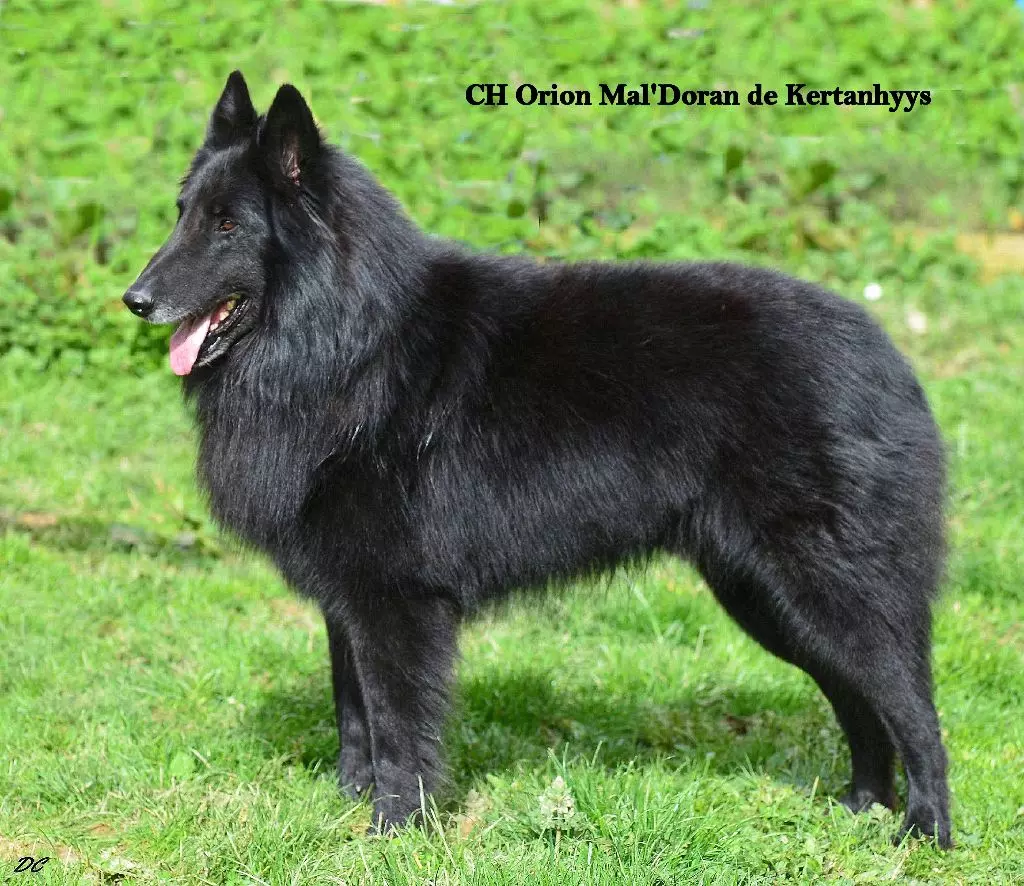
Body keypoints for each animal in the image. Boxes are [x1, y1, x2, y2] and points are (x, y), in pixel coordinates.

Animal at [123, 71, 951, 845]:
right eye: (180, 213)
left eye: (228, 226)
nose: (134, 298)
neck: (347, 345)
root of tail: (886, 353)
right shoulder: (346, 603)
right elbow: (354, 718)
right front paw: (351, 808)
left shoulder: (396, 606)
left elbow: (396, 726)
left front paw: (395, 831)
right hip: (764, 597)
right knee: (861, 704)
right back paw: (861, 808)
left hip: (825, 589)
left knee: (913, 707)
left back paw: (925, 831)